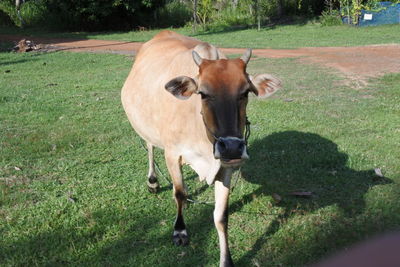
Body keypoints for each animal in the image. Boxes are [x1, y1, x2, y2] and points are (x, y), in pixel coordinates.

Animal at [122, 30, 282, 266]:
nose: (231, 147)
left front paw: (226, 260)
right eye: (203, 93)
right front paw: (180, 231)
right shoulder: (172, 153)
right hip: (147, 128)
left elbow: (221, 216)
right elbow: (179, 193)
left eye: (245, 92)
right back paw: (153, 181)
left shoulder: (225, 167)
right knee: (150, 146)